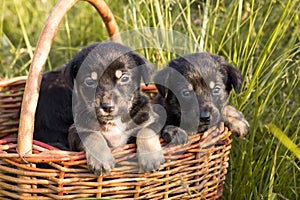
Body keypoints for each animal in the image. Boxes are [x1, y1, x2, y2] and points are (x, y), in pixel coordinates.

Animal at [34, 42, 164, 175]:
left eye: (124, 78)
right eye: (90, 81)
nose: (108, 107)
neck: (113, 122)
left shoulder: (150, 118)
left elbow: (146, 131)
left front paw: (150, 157)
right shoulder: (76, 129)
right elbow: (92, 136)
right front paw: (101, 160)